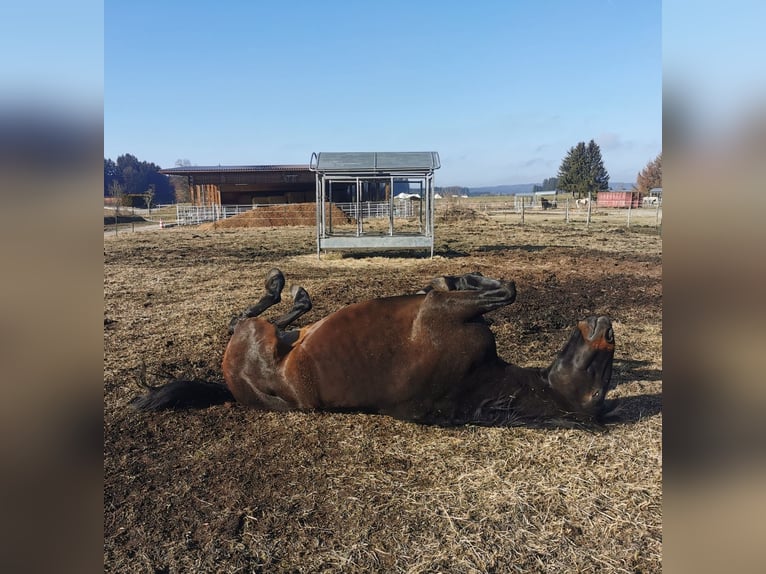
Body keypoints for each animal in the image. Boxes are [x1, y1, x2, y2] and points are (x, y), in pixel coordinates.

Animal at [134, 268, 616, 428]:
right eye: (602, 375)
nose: (608, 322)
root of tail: (232, 389)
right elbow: (498, 290)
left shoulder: (443, 311)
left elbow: (504, 291)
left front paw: (458, 278)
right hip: (275, 337)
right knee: (273, 321)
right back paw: (294, 296)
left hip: (257, 337)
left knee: (244, 318)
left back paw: (282, 288)